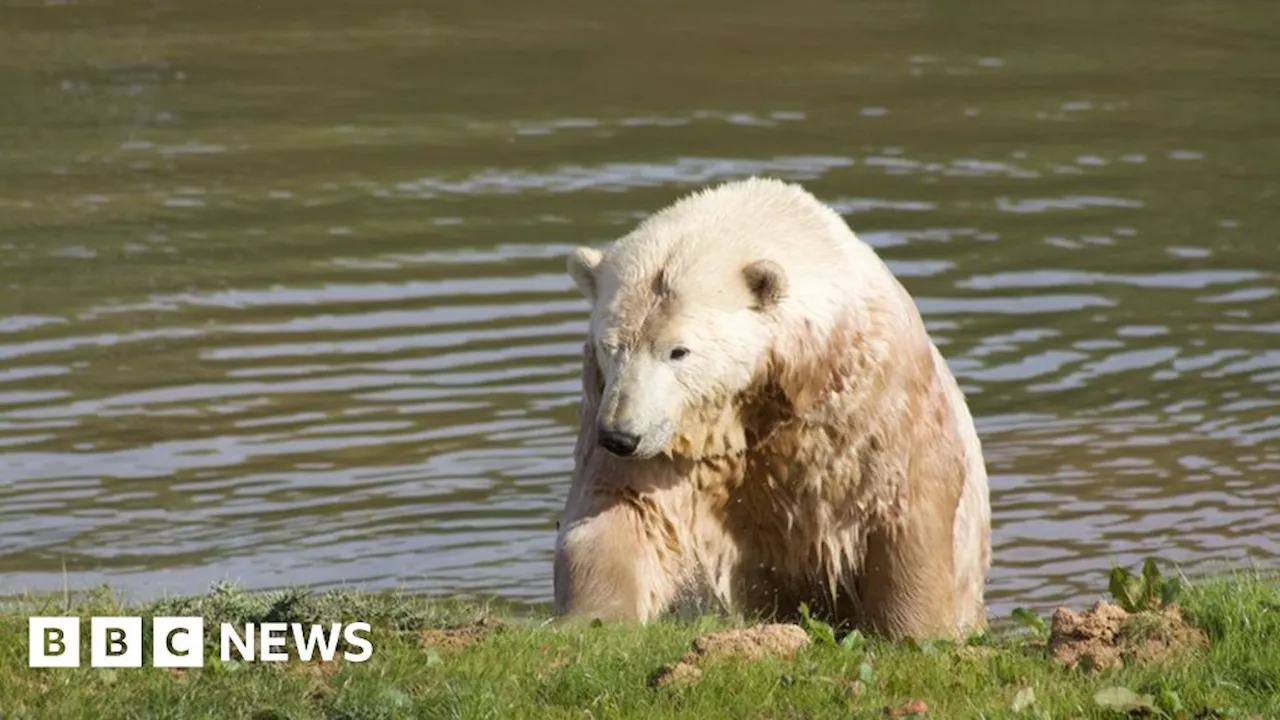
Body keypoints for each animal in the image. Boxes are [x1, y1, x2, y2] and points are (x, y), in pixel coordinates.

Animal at [550, 176, 988, 635]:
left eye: (678, 351)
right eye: (610, 345)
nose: (620, 435)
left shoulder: (869, 402)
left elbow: (903, 509)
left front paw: (914, 630)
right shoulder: (659, 432)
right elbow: (622, 510)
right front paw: (595, 619)